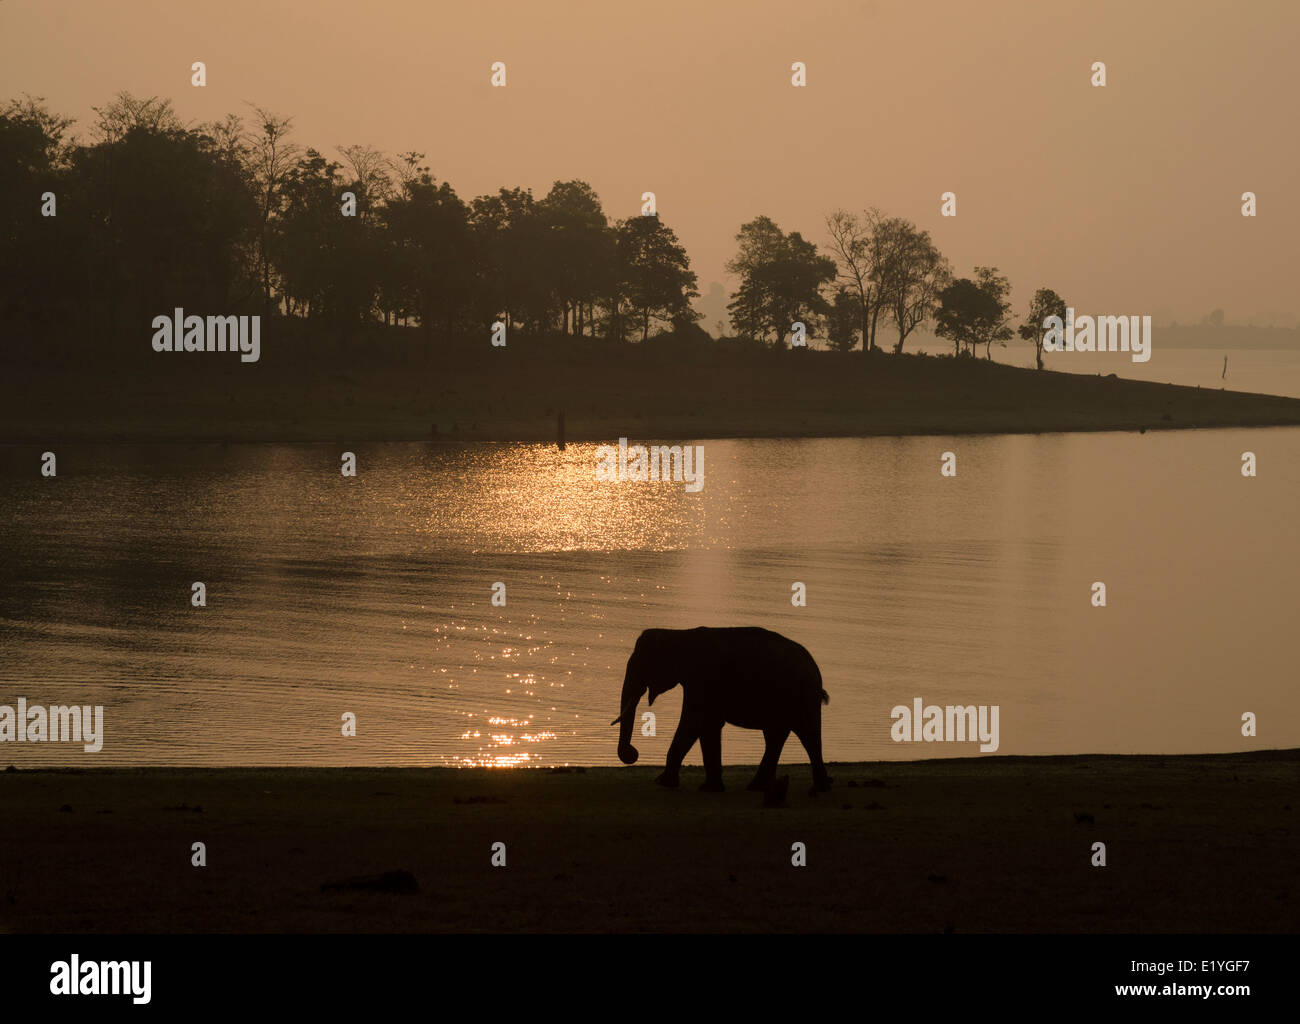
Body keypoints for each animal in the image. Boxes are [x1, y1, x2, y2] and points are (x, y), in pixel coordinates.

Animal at [611, 623, 832, 790]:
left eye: (643, 665)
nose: (633, 752)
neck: (679, 634)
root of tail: (815, 669)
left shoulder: (703, 679)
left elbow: (694, 722)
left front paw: (663, 783)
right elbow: (708, 726)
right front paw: (710, 788)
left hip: (800, 696)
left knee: (806, 735)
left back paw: (816, 789)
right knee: (777, 736)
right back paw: (759, 787)